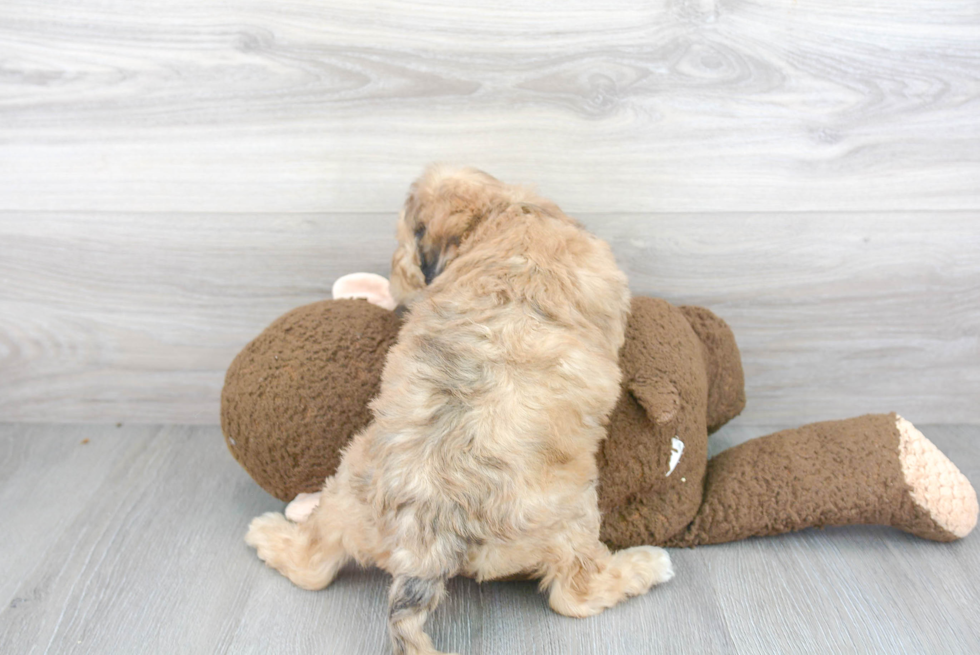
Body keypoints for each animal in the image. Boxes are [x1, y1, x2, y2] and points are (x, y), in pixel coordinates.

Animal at [245, 167, 672, 652]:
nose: (395, 272)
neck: (506, 212)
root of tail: (425, 536)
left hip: (349, 490)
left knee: (312, 565)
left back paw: (270, 533)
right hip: (573, 516)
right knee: (574, 595)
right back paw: (647, 566)